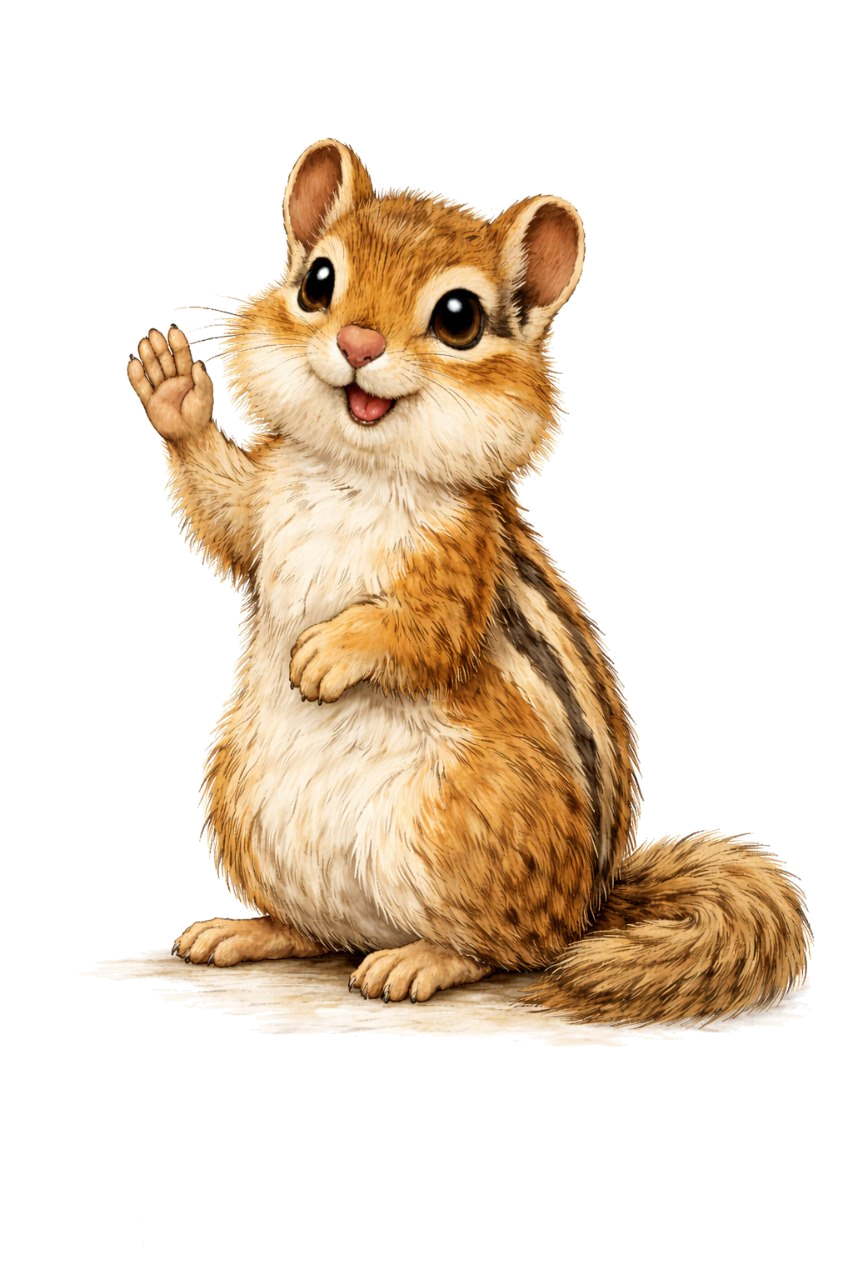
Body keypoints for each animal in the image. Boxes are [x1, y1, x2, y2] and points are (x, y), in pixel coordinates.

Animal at [128, 139, 810, 1024]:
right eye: (317, 282)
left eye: (458, 318)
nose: (357, 343)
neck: (356, 472)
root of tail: (594, 903)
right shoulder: (263, 505)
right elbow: (223, 514)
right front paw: (174, 389)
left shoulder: (462, 561)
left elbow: (423, 633)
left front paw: (325, 656)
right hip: (247, 809)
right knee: (321, 932)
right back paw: (245, 933)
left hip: (464, 820)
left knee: (506, 950)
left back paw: (418, 961)